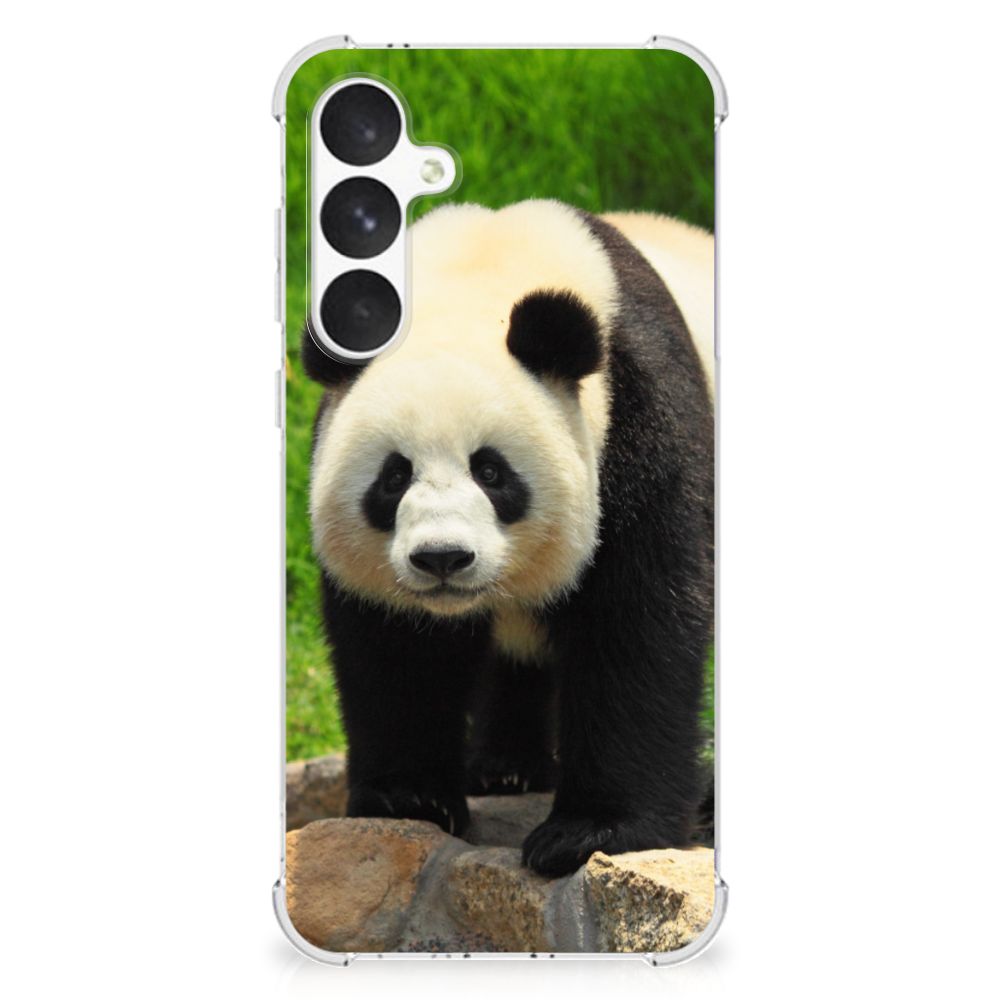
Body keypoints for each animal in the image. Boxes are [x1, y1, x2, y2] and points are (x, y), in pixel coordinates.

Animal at [301, 199, 714, 877]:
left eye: (491, 472)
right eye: (394, 476)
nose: (442, 558)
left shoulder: (640, 418)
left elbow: (639, 622)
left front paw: (590, 832)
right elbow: (397, 649)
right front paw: (408, 799)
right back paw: (505, 768)